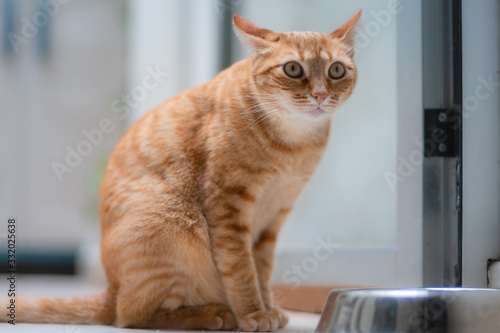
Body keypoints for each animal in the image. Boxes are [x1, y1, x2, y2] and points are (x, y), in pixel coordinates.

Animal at [5, 11, 362, 330]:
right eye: (292, 68)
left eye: (336, 69)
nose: (320, 94)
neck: (292, 145)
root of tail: (111, 289)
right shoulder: (227, 207)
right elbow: (241, 267)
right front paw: (252, 313)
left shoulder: (274, 215)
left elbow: (262, 267)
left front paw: (268, 307)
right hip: (171, 223)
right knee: (132, 316)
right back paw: (214, 315)